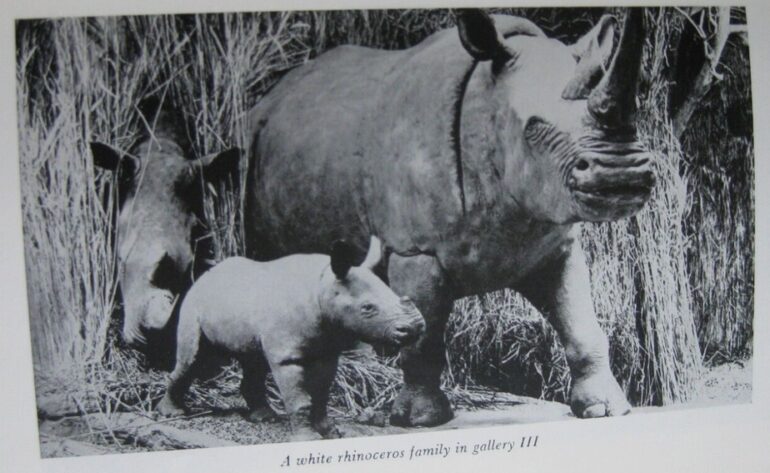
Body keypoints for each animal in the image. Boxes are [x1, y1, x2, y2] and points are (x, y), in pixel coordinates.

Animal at [241, 8, 654, 426]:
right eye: (535, 129)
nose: (621, 172)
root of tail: (271, 96)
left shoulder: (554, 244)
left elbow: (581, 322)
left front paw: (604, 409)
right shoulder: (415, 250)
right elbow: (423, 336)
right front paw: (421, 419)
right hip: (252, 153)